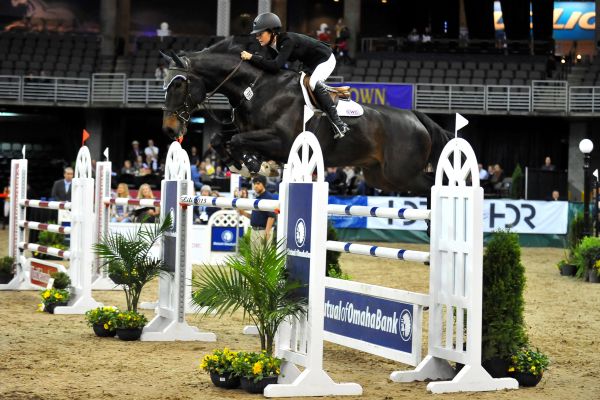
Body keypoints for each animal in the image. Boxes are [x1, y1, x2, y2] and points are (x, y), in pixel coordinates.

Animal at [162, 36, 452, 195]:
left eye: (178, 85)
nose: (169, 129)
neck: (254, 88)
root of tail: (415, 116)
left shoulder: (280, 141)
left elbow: (236, 142)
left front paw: (256, 164)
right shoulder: (245, 130)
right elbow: (219, 140)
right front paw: (244, 165)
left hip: (401, 173)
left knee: (433, 186)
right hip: (381, 176)